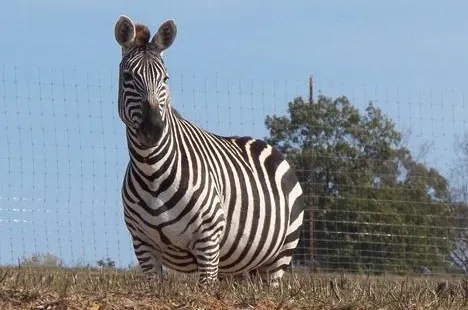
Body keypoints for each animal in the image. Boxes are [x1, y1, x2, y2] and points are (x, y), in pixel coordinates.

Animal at [113, 15, 304, 286]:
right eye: (128, 76)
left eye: (165, 79)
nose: (153, 130)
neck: (151, 172)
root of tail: (264, 144)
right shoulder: (143, 245)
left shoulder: (208, 241)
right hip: (240, 266)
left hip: (279, 256)